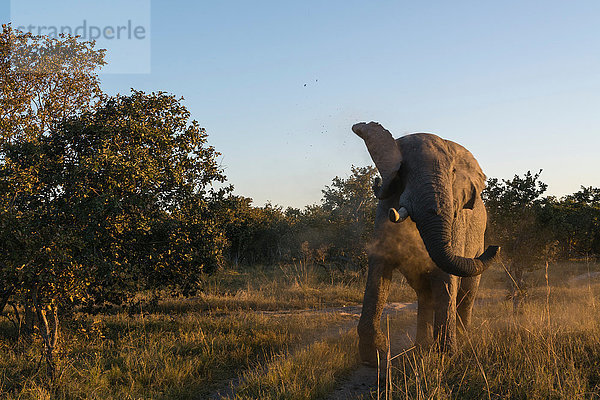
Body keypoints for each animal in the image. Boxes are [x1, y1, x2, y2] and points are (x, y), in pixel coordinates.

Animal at [354, 122, 500, 366]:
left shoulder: (457, 220)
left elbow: (447, 278)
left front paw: (447, 357)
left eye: (452, 173)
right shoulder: (383, 211)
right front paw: (374, 357)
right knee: (425, 293)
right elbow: (378, 273)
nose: (495, 247)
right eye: (403, 171)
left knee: (467, 292)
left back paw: (462, 339)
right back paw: (420, 348)